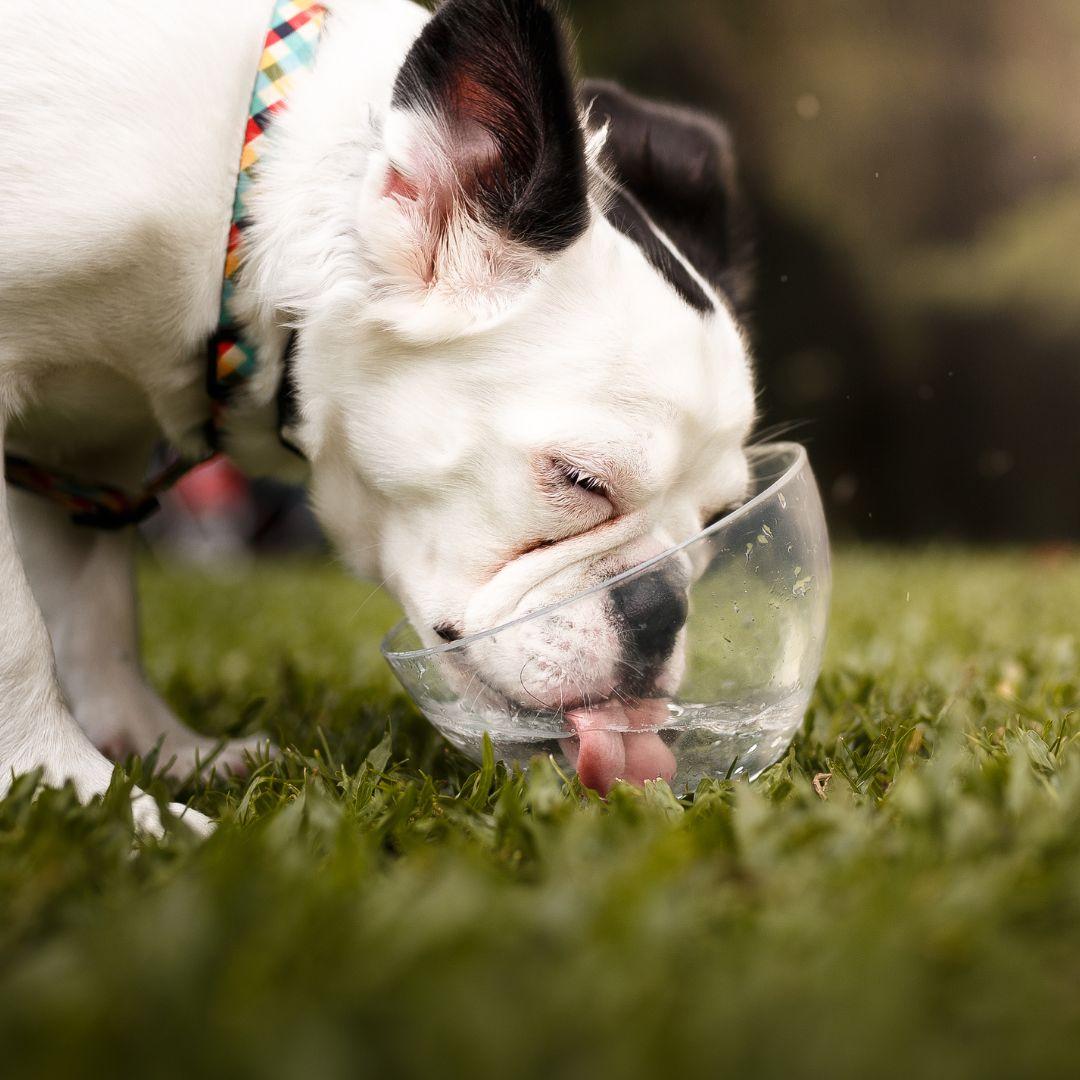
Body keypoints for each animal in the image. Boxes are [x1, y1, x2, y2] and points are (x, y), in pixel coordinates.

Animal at [0, 0, 756, 833]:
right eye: (579, 480)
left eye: (719, 519)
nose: (662, 609)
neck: (245, 199)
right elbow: (20, 641)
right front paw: (92, 796)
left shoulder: (87, 452)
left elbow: (98, 610)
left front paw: (146, 752)